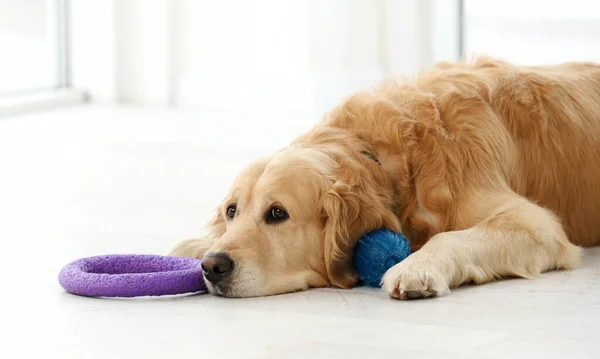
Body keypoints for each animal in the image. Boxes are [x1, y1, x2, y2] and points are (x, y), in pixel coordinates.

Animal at [169, 55, 600, 298]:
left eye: (277, 213)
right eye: (231, 210)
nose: (213, 267)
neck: (386, 155)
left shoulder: (537, 225)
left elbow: (450, 237)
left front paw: (416, 267)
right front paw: (193, 244)